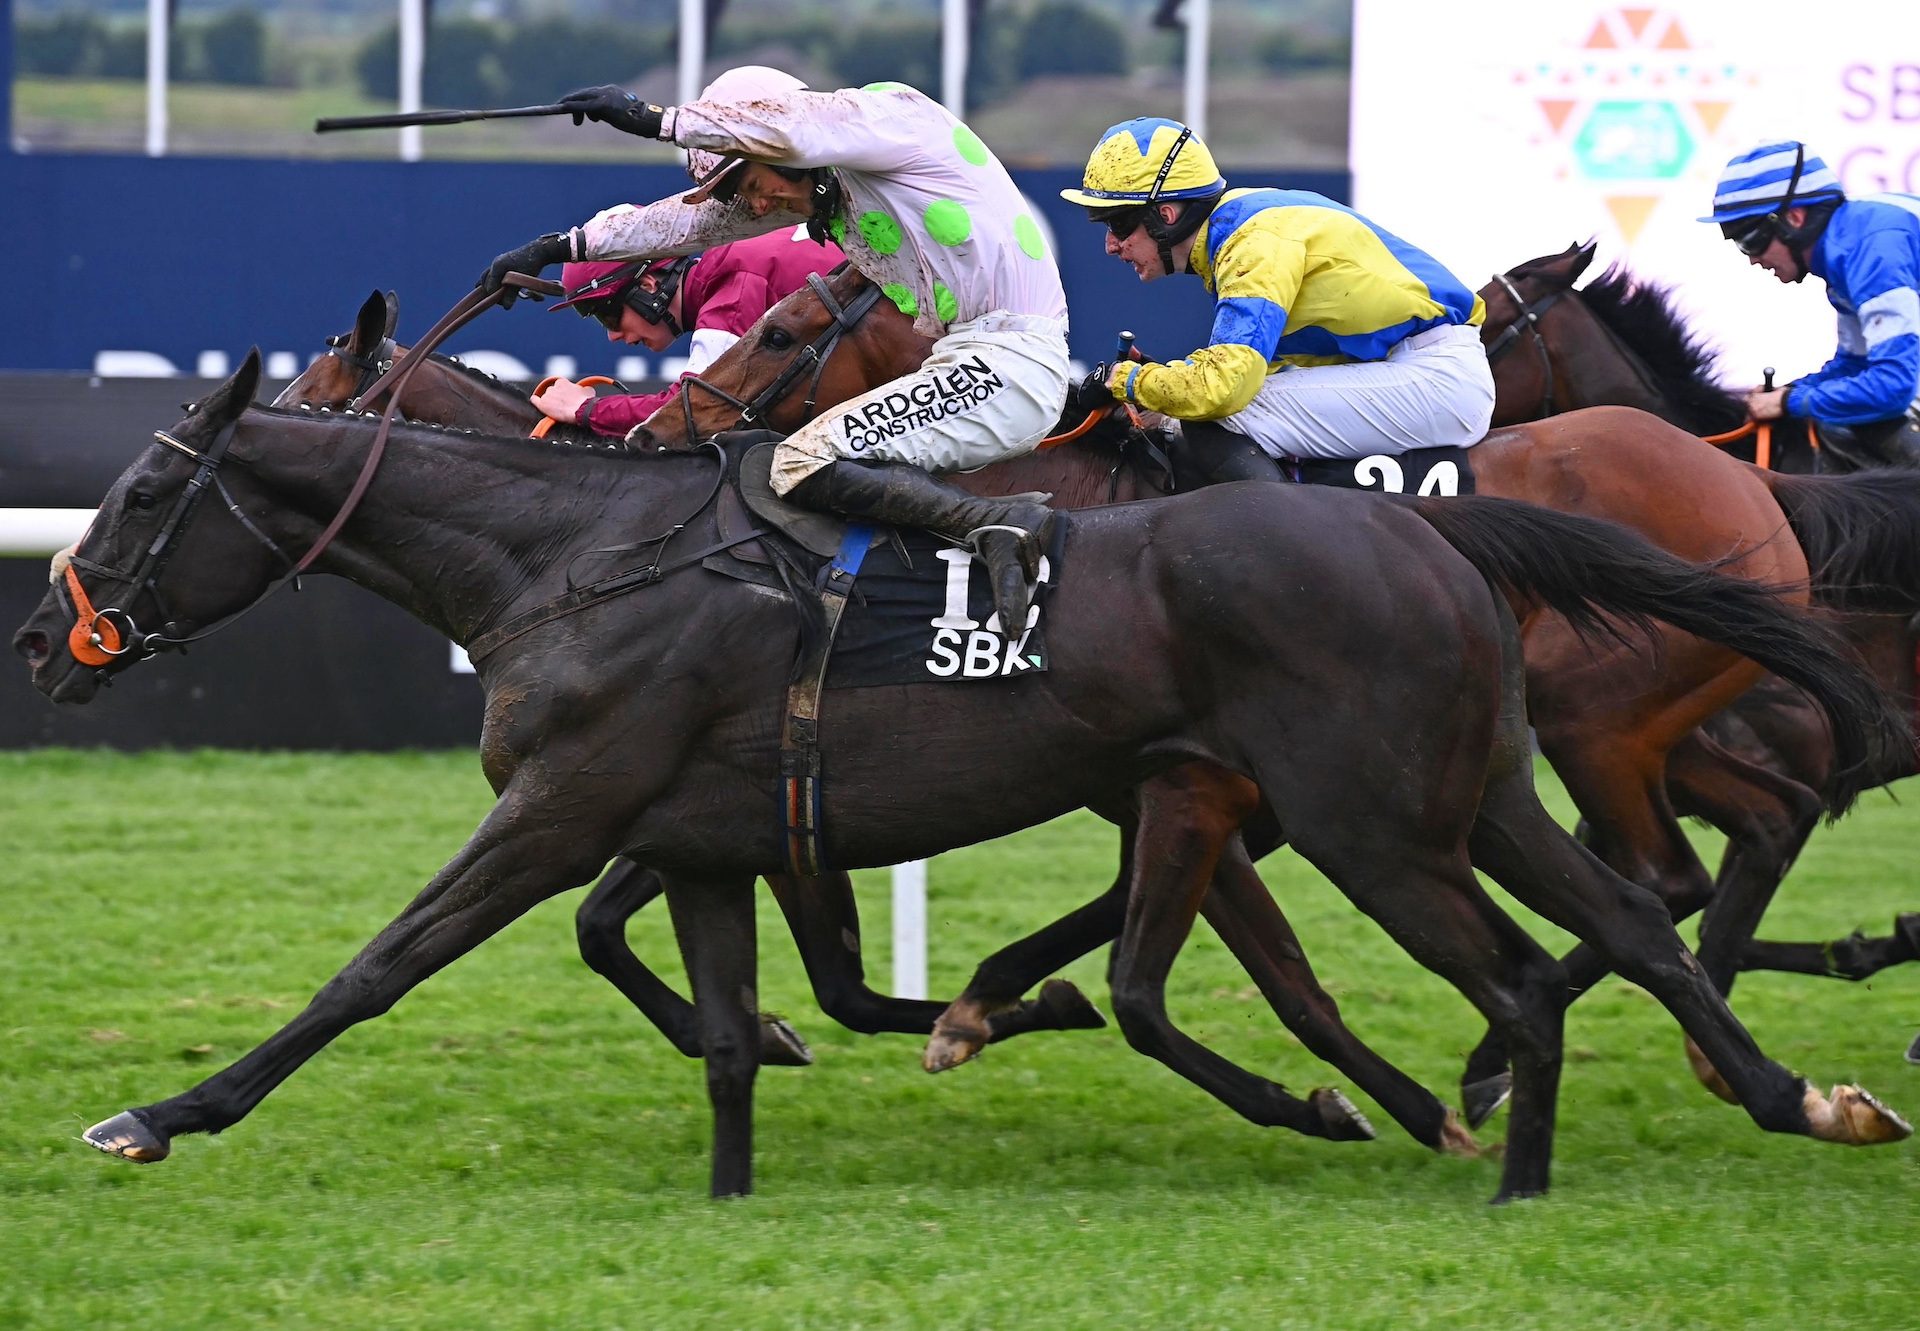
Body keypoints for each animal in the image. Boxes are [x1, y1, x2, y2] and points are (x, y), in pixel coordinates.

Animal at [15, 353, 1904, 1206]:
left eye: (140, 496)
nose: (47, 637)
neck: (578, 557)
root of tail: (1427, 521)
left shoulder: (561, 809)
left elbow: (374, 969)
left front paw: (162, 1112)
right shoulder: (700, 838)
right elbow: (727, 1021)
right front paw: (741, 1180)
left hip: (1374, 816)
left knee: (1531, 970)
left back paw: (1509, 1156)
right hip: (1472, 787)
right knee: (1637, 924)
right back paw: (1792, 1092)